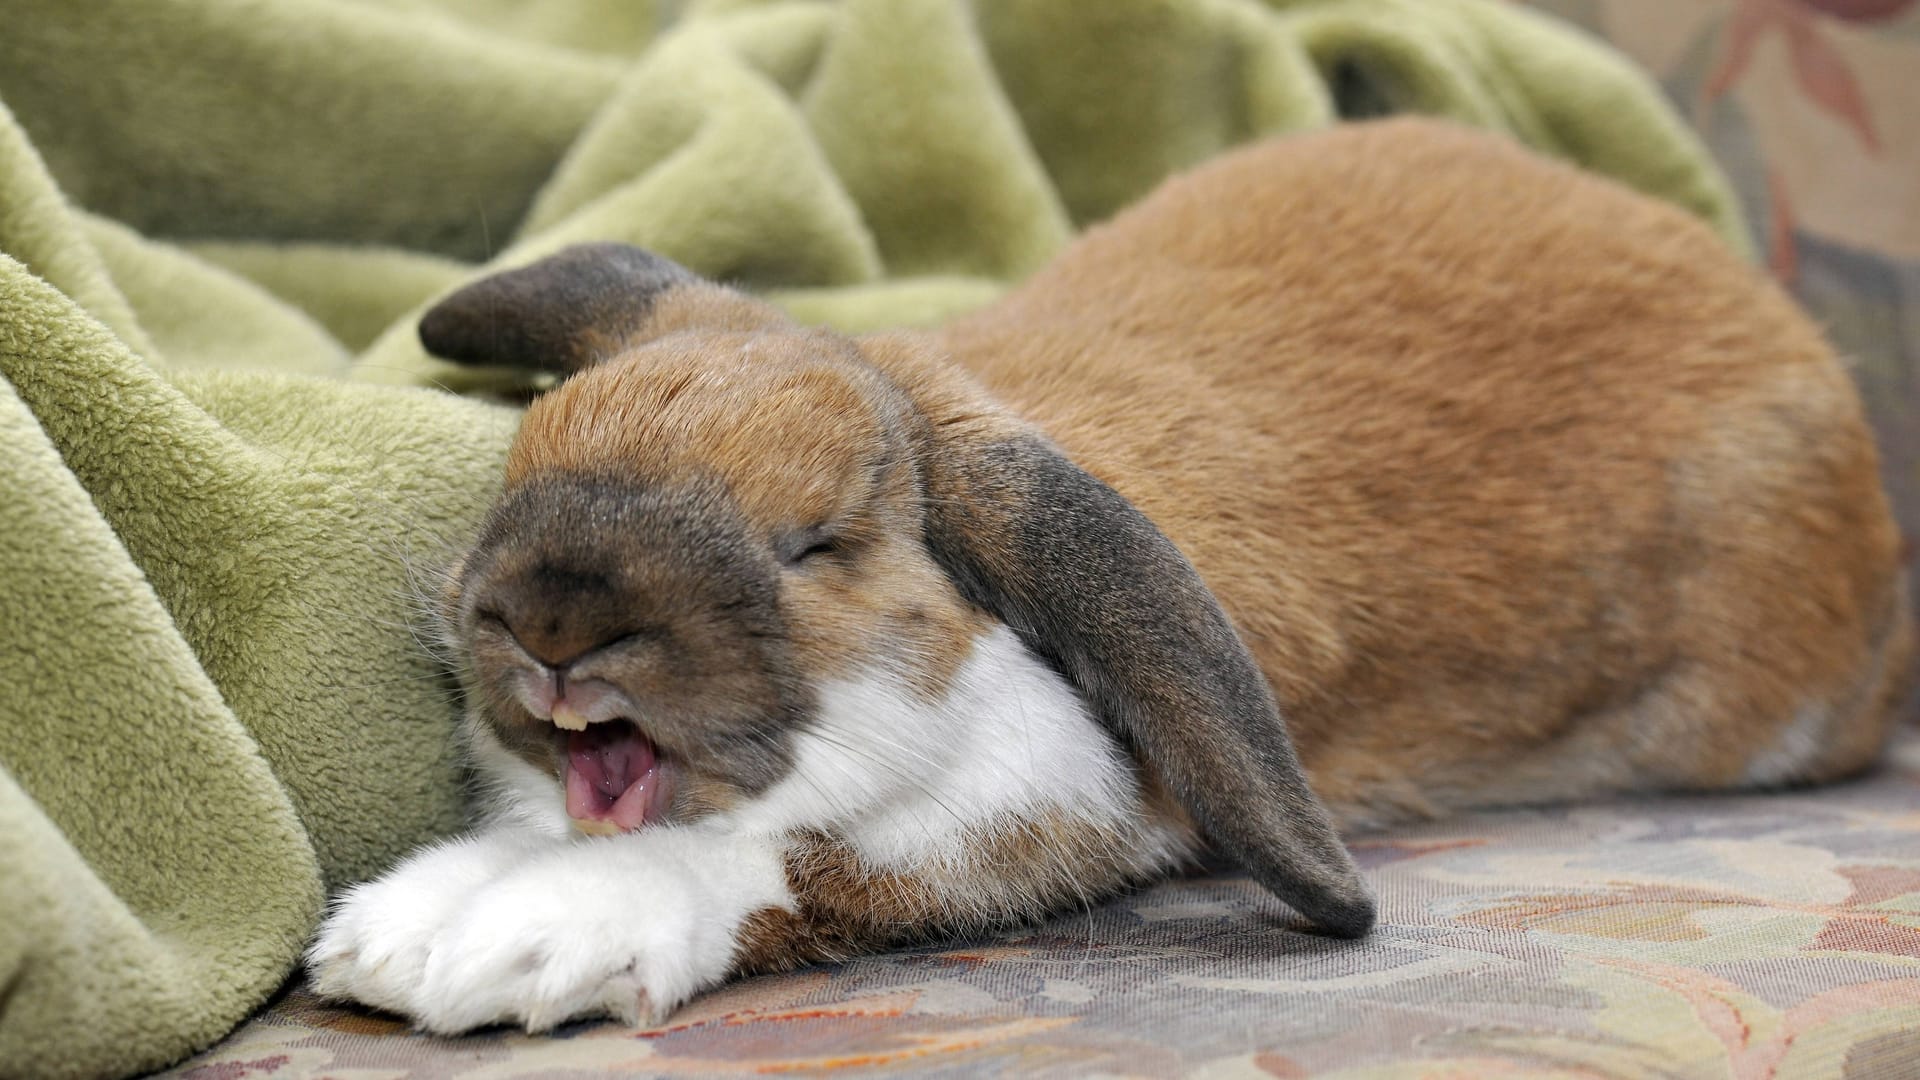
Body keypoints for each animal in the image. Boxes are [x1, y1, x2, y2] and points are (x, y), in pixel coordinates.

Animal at [307, 113, 1912, 1030]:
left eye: (816, 542)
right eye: (522, 461)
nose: (551, 619)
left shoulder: (1036, 814)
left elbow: (808, 862)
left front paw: (499, 940)